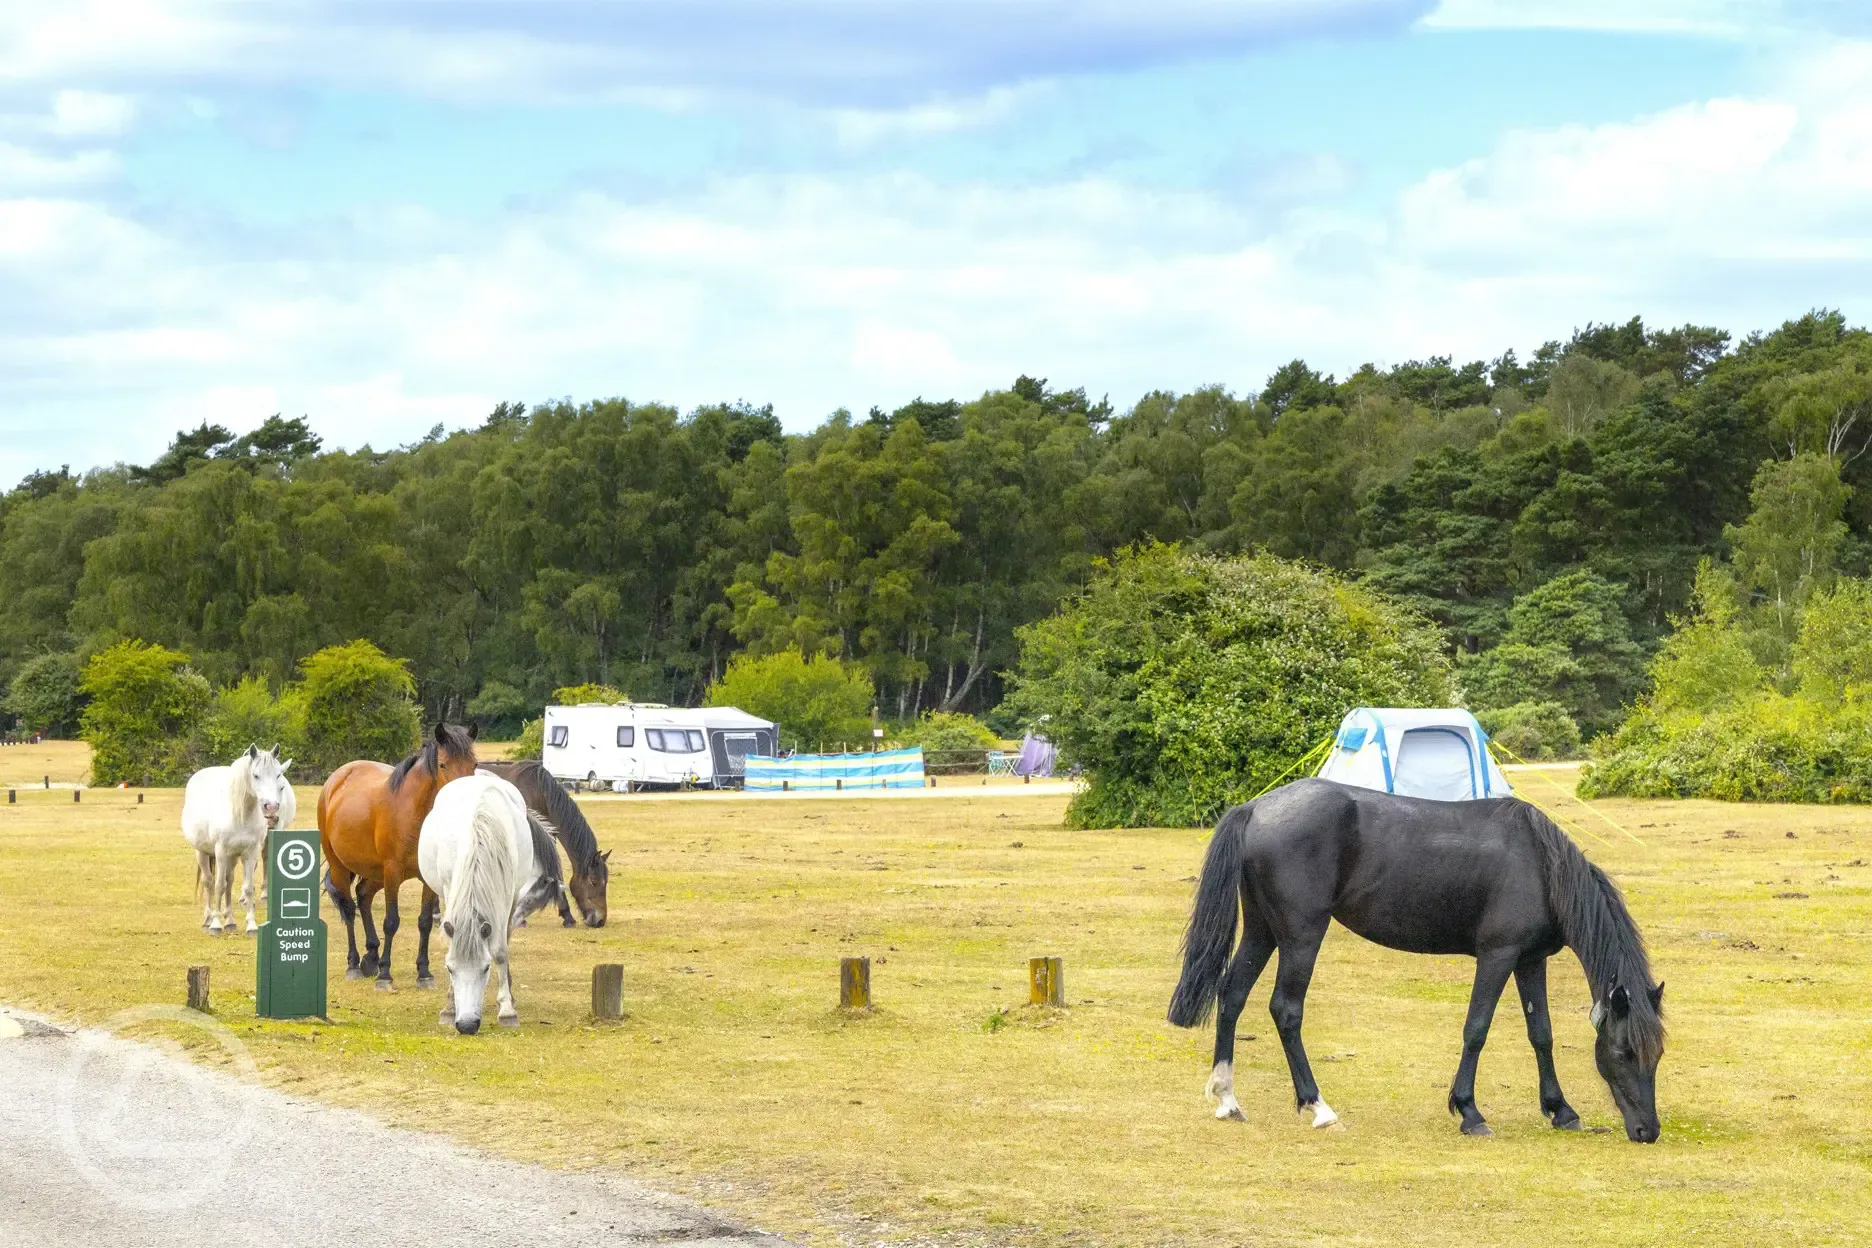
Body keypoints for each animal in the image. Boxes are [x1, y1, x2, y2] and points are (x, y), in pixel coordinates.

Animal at [181, 748, 292, 931]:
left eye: (278, 775)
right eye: (255, 775)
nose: (271, 808)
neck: (240, 815)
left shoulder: (250, 853)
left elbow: (247, 888)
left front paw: (251, 924)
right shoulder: (220, 852)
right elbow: (219, 885)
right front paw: (216, 924)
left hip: (232, 857)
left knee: (229, 880)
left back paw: (230, 920)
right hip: (202, 852)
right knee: (209, 881)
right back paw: (208, 918)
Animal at [316, 725, 479, 987]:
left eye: (474, 764)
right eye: (443, 764)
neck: (414, 813)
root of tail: (337, 778)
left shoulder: (426, 878)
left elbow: (424, 922)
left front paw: (424, 972)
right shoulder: (392, 872)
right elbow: (391, 921)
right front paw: (385, 974)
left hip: (375, 873)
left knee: (363, 895)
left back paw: (371, 955)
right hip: (341, 866)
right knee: (349, 909)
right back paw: (354, 964)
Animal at [423, 770, 561, 1032]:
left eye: (485, 967)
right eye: (450, 968)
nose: (467, 1025)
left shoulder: (506, 897)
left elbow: (500, 951)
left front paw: (507, 1010)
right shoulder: (449, 889)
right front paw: (449, 1007)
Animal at [1168, 782, 1669, 1145]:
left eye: (1658, 1054)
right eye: (1622, 1052)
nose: (1647, 1131)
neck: (1542, 867)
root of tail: (1255, 808)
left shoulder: (1530, 961)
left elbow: (1540, 1034)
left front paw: (1560, 1110)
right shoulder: (1498, 956)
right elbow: (1476, 1029)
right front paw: (1469, 1111)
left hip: (1261, 931)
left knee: (1232, 995)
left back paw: (1228, 1099)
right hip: (1301, 935)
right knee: (1286, 1011)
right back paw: (1318, 1107)